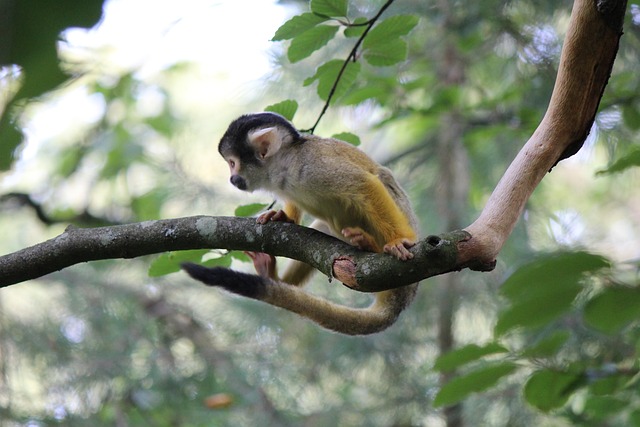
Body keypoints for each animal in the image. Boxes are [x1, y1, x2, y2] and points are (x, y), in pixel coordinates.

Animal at [181, 112, 420, 336]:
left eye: (232, 163)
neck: (285, 167)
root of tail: (406, 295)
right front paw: (282, 217)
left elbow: (364, 185)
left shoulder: (313, 166)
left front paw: (400, 241)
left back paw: (371, 243)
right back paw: (271, 274)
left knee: (382, 177)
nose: (232, 179)